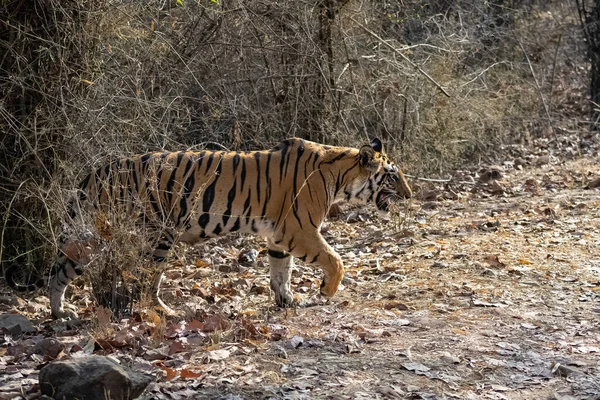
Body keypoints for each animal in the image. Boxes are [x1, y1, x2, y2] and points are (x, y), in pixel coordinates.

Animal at [4, 138, 410, 318]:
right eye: (392, 177)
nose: (409, 194)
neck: (340, 175)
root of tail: (94, 171)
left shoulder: (279, 236)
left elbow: (281, 270)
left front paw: (286, 301)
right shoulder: (300, 230)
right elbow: (334, 258)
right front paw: (327, 291)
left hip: (97, 236)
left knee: (61, 270)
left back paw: (60, 314)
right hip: (155, 235)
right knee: (144, 282)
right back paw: (165, 313)